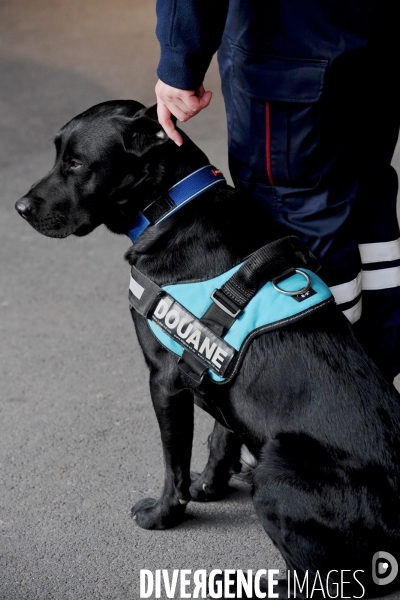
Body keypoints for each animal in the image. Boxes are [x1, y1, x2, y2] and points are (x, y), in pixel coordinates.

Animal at [15, 101, 400, 596]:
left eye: (77, 163)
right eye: (58, 155)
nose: (20, 208)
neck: (172, 206)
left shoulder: (164, 379)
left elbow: (173, 464)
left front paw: (164, 515)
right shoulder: (214, 367)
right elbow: (222, 434)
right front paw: (211, 486)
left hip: (276, 472)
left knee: (320, 577)